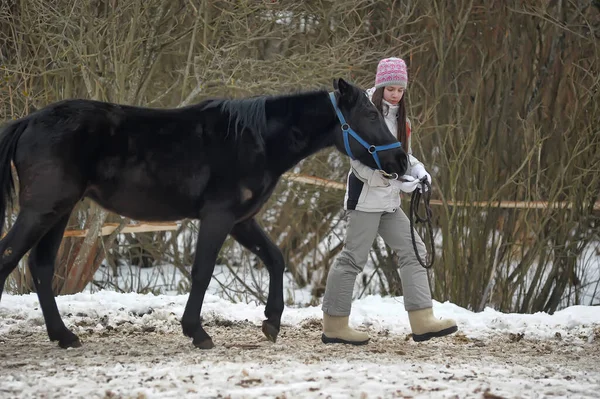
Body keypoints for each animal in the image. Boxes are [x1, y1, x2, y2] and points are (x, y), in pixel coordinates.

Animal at [0, 78, 408, 350]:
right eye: (371, 114)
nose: (400, 161)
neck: (255, 139)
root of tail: (29, 121)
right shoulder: (218, 217)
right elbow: (203, 271)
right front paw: (197, 332)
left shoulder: (242, 221)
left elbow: (275, 259)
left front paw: (272, 322)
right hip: (42, 210)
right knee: (10, 258)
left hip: (59, 212)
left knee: (40, 267)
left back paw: (64, 336)